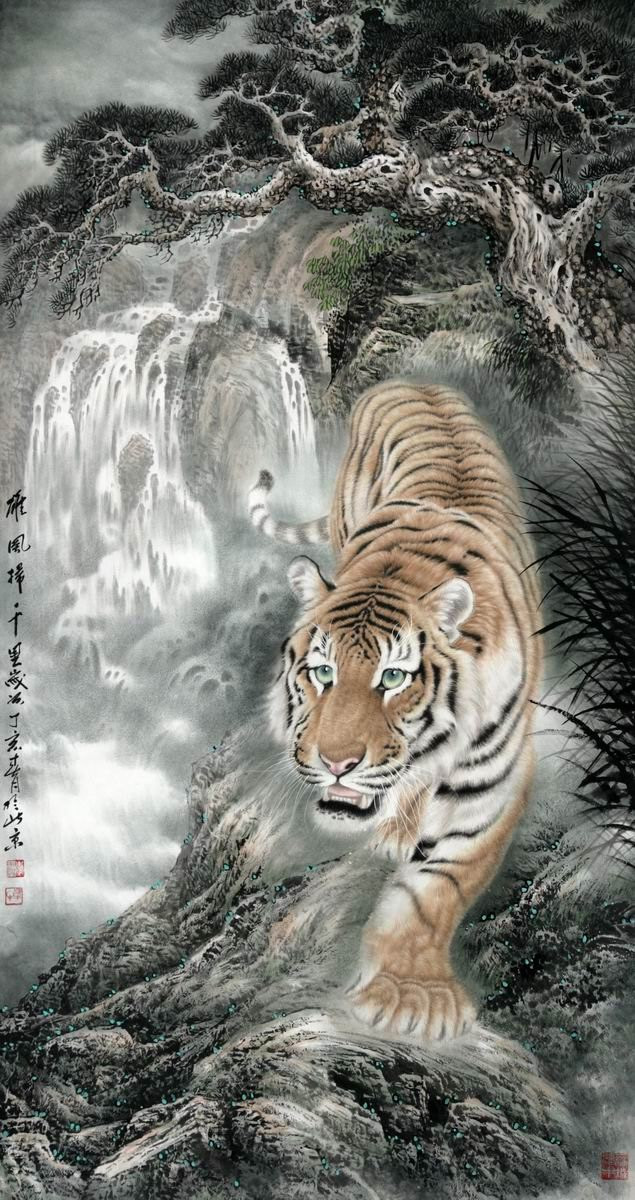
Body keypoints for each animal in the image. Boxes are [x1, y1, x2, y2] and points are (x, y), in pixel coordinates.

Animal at [248, 380, 542, 1041]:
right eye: (322, 672)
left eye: (393, 678)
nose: (336, 763)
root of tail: (412, 381)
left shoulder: (492, 783)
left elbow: (439, 888)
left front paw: (412, 996)